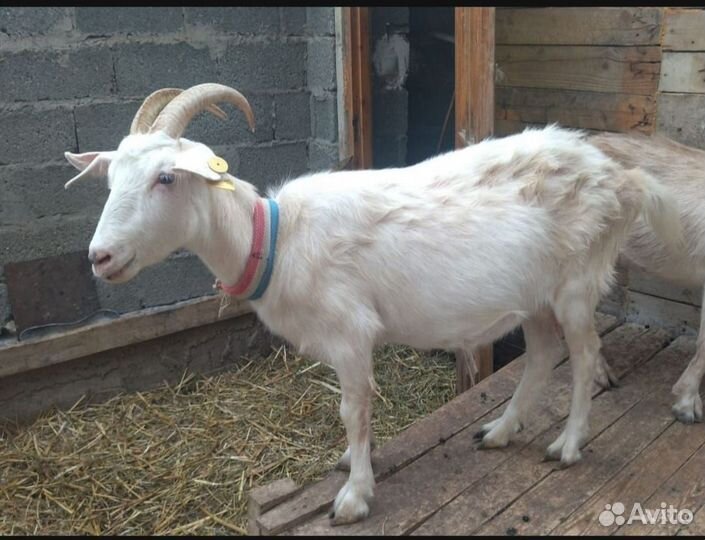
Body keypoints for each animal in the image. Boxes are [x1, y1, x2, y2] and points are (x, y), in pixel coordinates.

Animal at [63, 83, 683, 525]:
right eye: (111, 179)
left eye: (166, 177)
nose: (100, 257)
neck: (277, 240)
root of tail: (619, 177)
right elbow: (357, 412)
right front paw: (351, 467)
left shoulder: (351, 333)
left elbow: (353, 410)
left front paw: (353, 495)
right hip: (532, 295)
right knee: (542, 355)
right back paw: (501, 431)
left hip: (576, 282)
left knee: (584, 356)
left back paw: (569, 445)